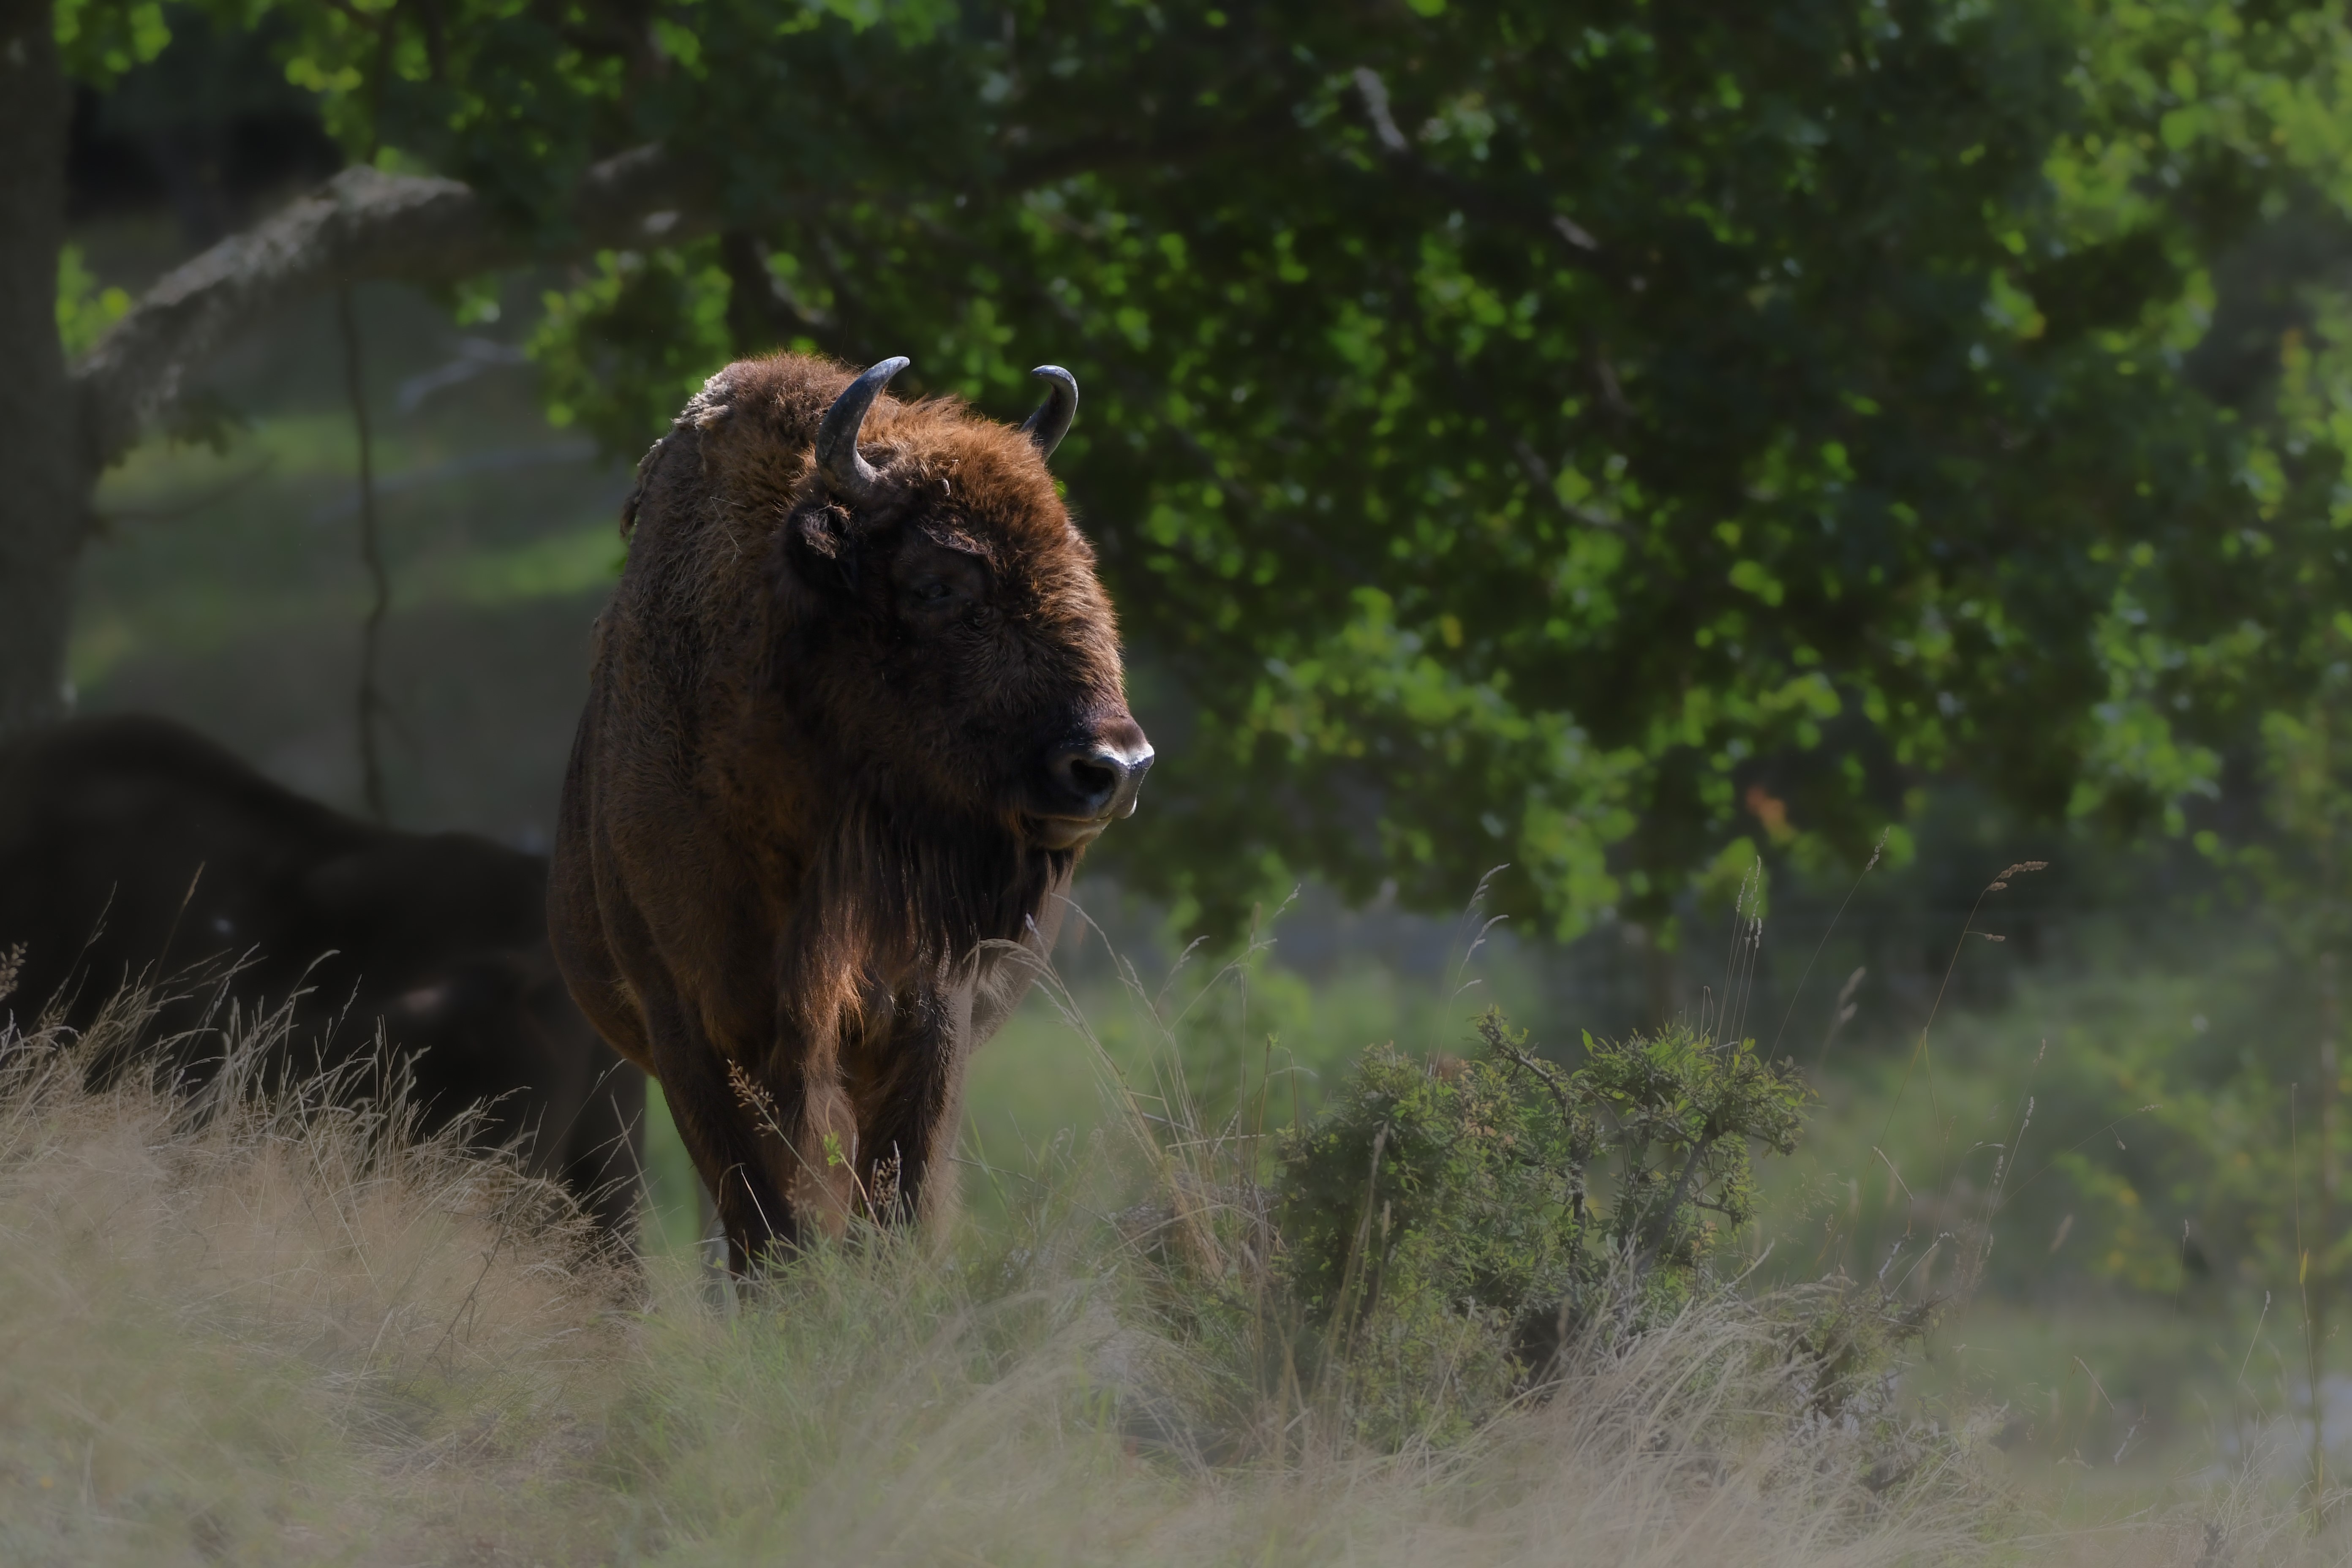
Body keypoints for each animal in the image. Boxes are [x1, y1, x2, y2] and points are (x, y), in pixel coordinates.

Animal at [551, 353, 1151, 1270]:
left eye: (1076, 556)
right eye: (938, 581)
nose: (1113, 766)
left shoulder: (923, 1013)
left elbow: (898, 1207)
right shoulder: (697, 1028)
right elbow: (768, 1227)